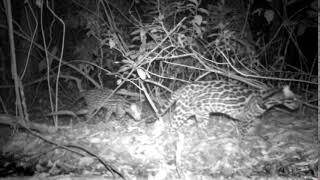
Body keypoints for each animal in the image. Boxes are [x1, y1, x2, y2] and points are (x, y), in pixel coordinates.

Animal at [160, 80, 300, 134]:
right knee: (171, 126)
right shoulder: (245, 120)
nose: (298, 106)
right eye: (293, 99)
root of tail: (184, 86)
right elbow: (242, 136)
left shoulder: (251, 120)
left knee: (201, 128)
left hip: (202, 113)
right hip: (183, 111)